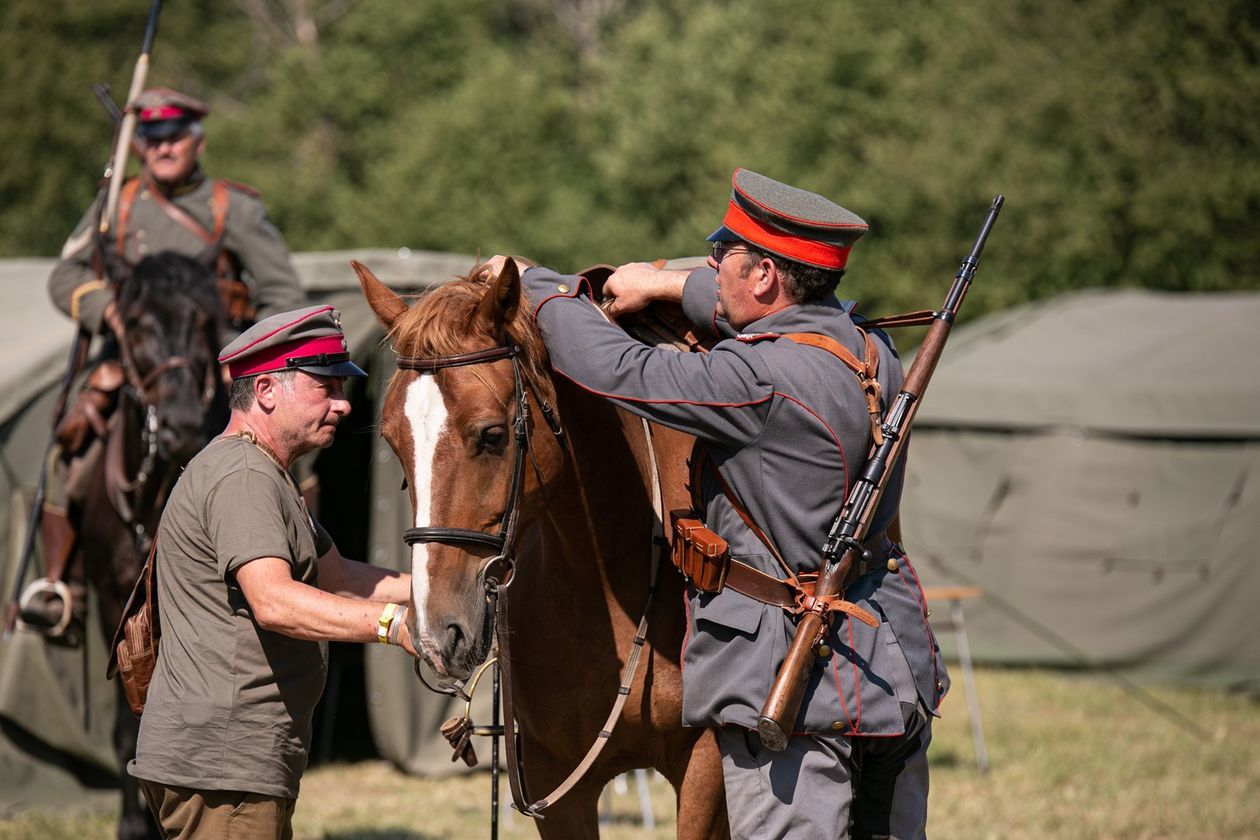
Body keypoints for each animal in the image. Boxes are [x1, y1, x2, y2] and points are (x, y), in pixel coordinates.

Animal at [72, 251, 229, 840]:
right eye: (136, 324)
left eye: (202, 322)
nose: (182, 425)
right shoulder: (113, 599)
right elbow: (127, 726)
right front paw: (132, 825)